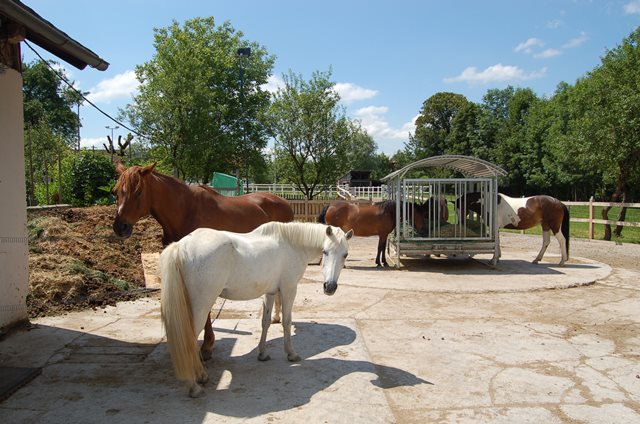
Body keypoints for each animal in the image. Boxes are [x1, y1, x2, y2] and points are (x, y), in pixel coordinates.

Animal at [159, 222, 350, 398]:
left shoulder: (270, 292)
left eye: (345, 255)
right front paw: (291, 354)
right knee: (189, 340)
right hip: (201, 306)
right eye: (325, 252)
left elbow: (266, 322)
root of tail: (181, 246)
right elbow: (287, 322)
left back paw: (202, 376)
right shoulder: (289, 289)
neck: (292, 244)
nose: (330, 287)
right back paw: (194, 386)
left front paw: (262, 353)